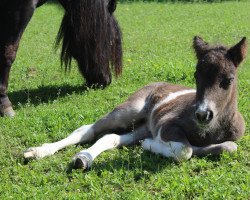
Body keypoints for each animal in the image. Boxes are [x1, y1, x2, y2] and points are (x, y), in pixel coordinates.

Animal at [23, 36, 246, 170]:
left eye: (228, 79)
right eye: (196, 75)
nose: (202, 114)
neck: (210, 130)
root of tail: (155, 83)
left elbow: (228, 147)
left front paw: (149, 145)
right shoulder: (166, 125)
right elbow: (185, 150)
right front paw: (150, 145)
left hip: (144, 125)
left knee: (111, 137)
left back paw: (83, 159)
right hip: (130, 110)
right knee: (87, 129)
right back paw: (38, 152)